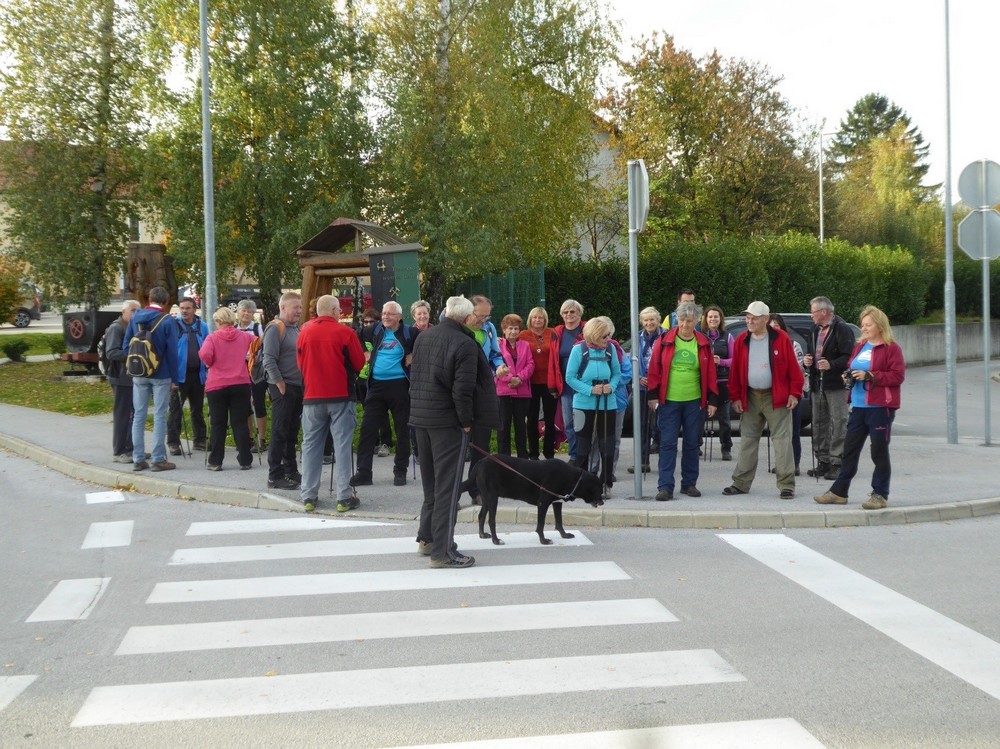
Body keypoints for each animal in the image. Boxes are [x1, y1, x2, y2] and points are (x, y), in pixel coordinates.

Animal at [458, 452, 600, 548]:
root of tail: (481, 462)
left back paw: (482, 535)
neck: (571, 477)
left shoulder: (557, 502)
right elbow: (541, 525)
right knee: (491, 520)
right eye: (597, 488)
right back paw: (496, 540)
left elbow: (559, 522)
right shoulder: (543, 503)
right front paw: (543, 541)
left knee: (481, 515)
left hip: (486, 498)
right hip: (493, 498)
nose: (602, 500)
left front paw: (564, 535)